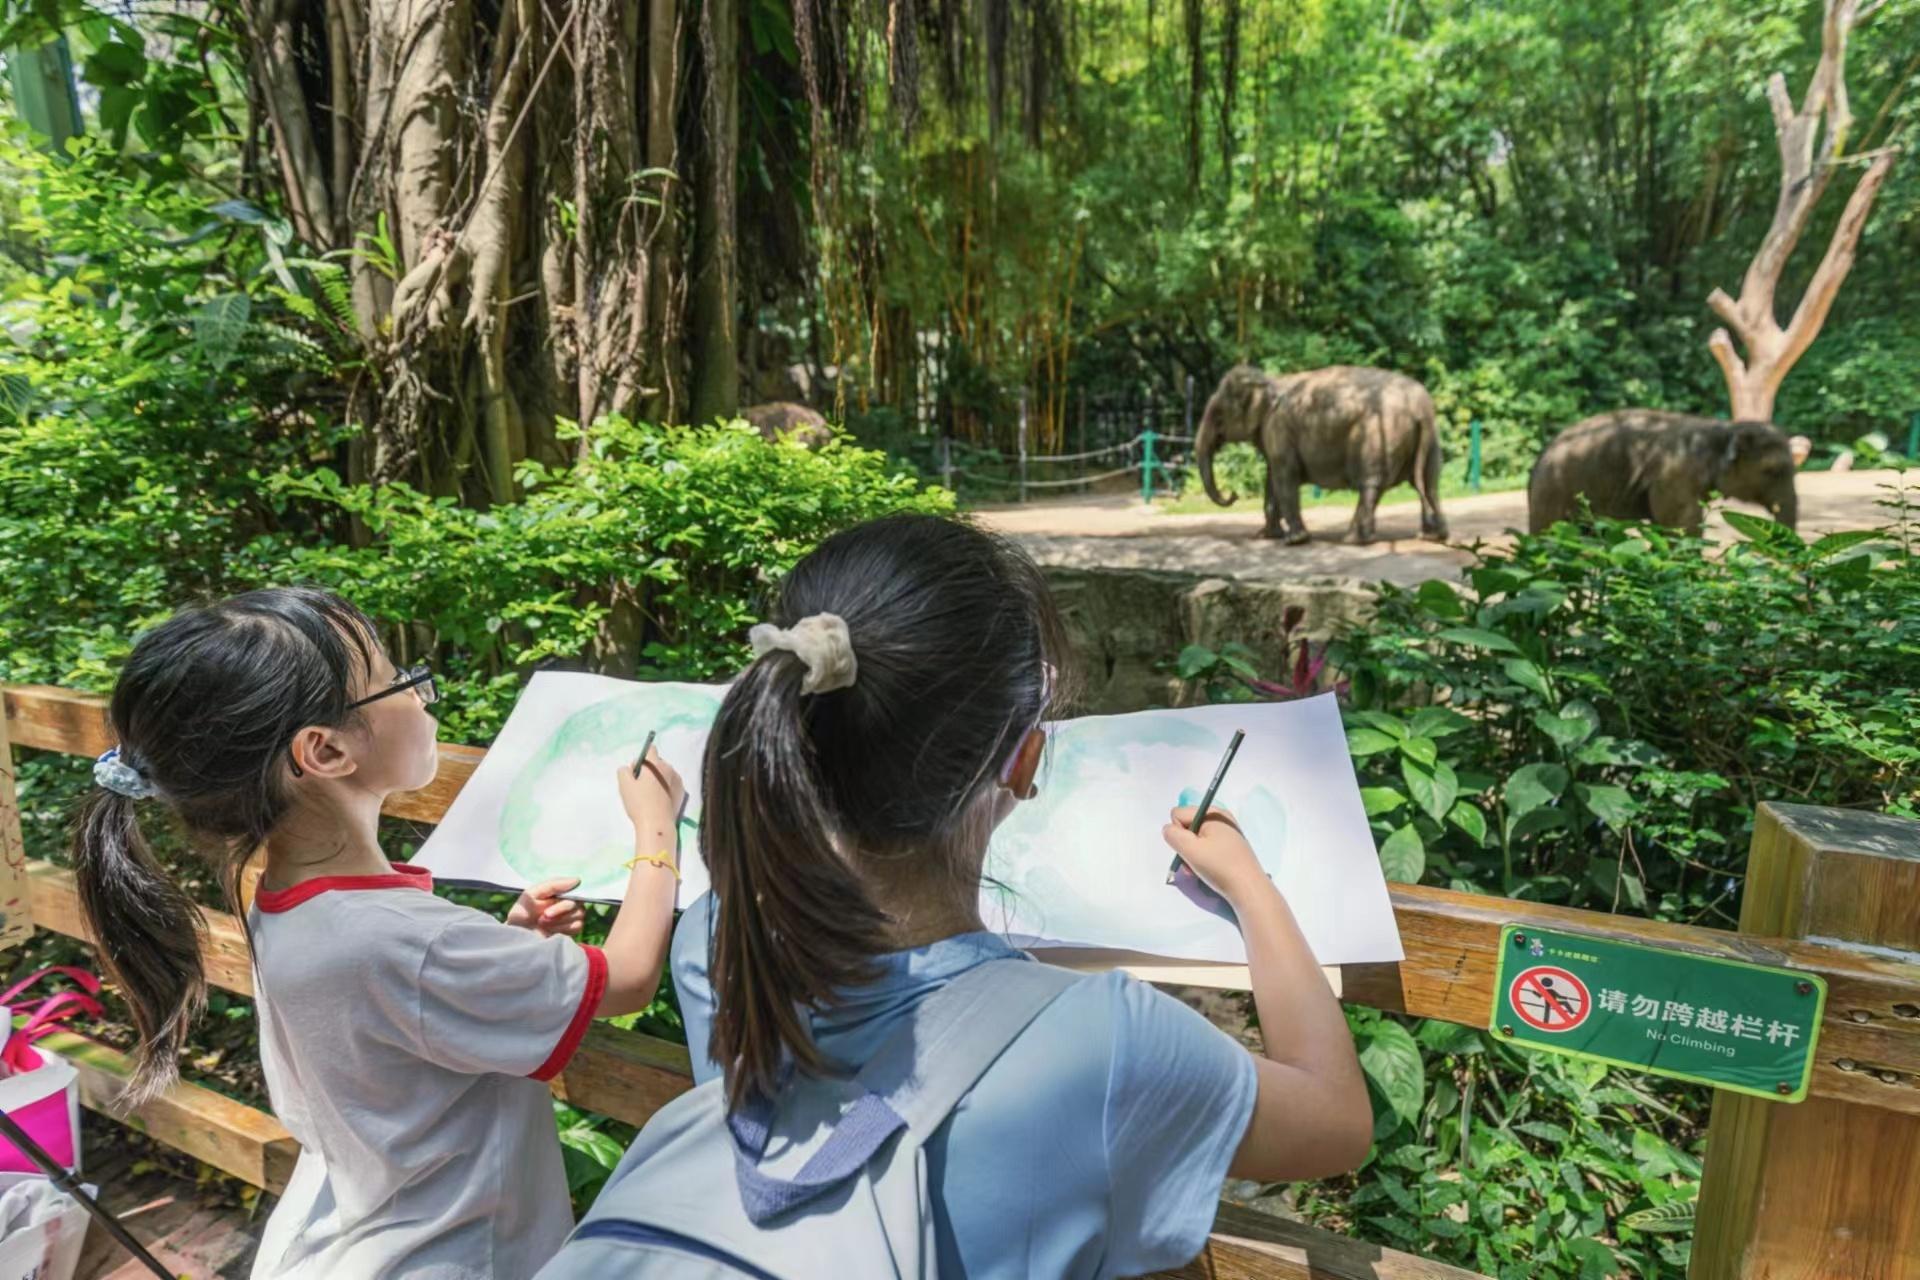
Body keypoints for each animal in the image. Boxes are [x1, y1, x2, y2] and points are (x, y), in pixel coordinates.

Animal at [1190, 362, 1443, 545]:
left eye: (1218, 416)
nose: (1233, 495)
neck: (1269, 381)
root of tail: (1421, 407)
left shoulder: (1278, 426)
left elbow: (1284, 476)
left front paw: (1295, 540)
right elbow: (1272, 479)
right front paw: (1266, 536)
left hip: (1379, 436)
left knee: (1371, 485)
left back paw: (1352, 540)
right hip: (1429, 441)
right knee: (1428, 483)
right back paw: (1432, 537)